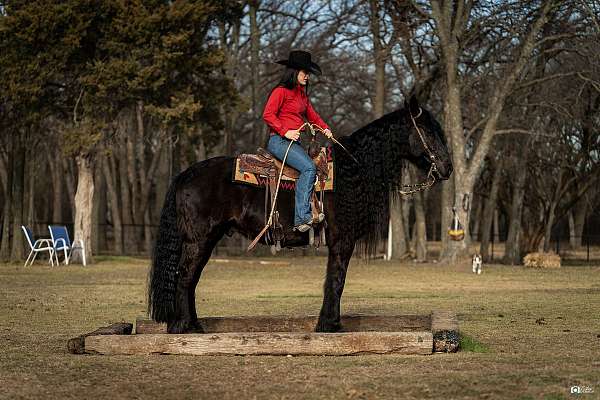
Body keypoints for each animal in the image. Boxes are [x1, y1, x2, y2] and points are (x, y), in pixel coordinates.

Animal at [148, 97, 452, 334]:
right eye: (428, 132)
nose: (447, 167)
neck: (351, 172)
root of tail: (185, 174)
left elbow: (335, 280)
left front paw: (330, 322)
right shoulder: (342, 240)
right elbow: (336, 280)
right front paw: (329, 325)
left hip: (206, 240)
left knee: (191, 278)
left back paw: (192, 325)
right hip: (199, 239)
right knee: (185, 276)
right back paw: (182, 327)